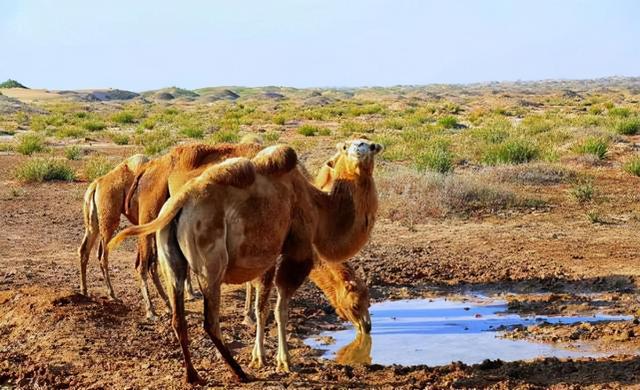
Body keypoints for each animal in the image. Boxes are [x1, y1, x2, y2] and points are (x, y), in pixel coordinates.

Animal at [78, 154, 148, 300]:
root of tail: (95, 185)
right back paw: (112, 294)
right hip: (109, 221)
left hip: (92, 224)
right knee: (102, 254)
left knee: (84, 250)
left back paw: (84, 291)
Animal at [107, 139, 382, 382]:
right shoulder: (296, 251)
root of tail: (179, 202)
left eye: (370, 145)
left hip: (170, 253)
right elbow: (279, 308)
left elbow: (262, 307)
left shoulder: (267, 255)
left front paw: (259, 356)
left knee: (178, 317)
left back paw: (194, 376)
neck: (317, 205)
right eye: (357, 302)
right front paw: (283, 361)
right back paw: (238, 373)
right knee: (209, 320)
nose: (367, 326)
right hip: (209, 262)